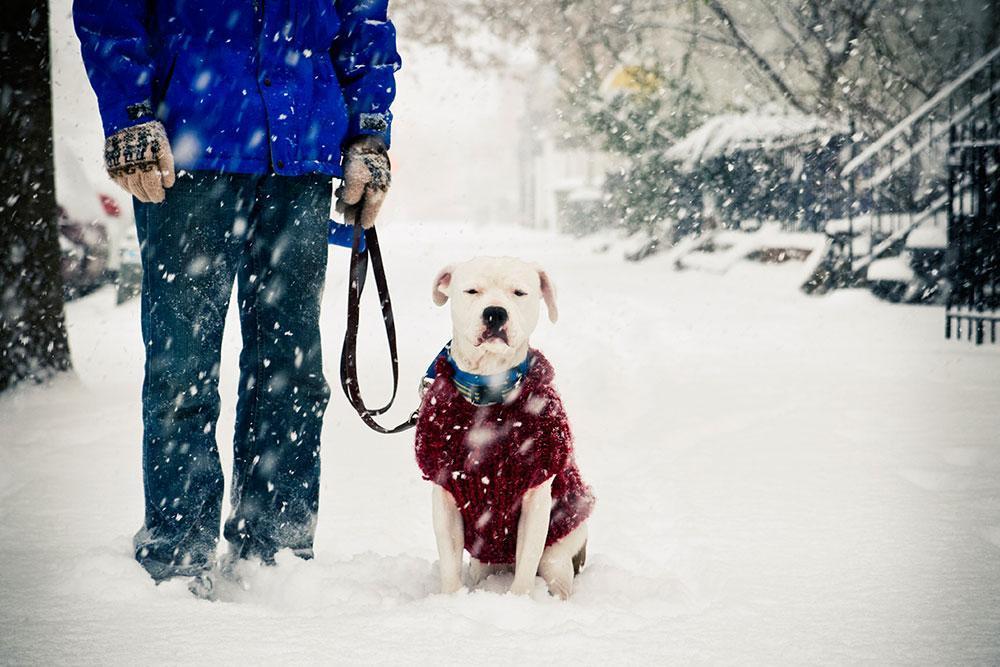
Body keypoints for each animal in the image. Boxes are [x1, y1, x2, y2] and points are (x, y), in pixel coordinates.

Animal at [414, 258, 592, 600]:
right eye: (472, 291)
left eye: (519, 292)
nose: (495, 312)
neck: (489, 388)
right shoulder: (445, 493)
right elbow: (449, 562)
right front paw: (451, 599)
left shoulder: (537, 493)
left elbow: (526, 561)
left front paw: (519, 602)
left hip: (559, 554)